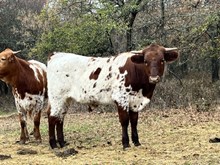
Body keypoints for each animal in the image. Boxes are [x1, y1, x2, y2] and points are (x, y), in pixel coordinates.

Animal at [46, 43, 179, 149]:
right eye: (146, 62)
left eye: (162, 60)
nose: (154, 78)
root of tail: (55, 55)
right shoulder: (121, 99)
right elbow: (124, 121)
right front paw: (125, 143)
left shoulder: (134, 102)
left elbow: (134, 121)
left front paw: (136, 142)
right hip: (57, 97)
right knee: (52, 117)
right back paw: (53, 144)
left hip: (66, 99)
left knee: (60, 118)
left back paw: (62, 143)